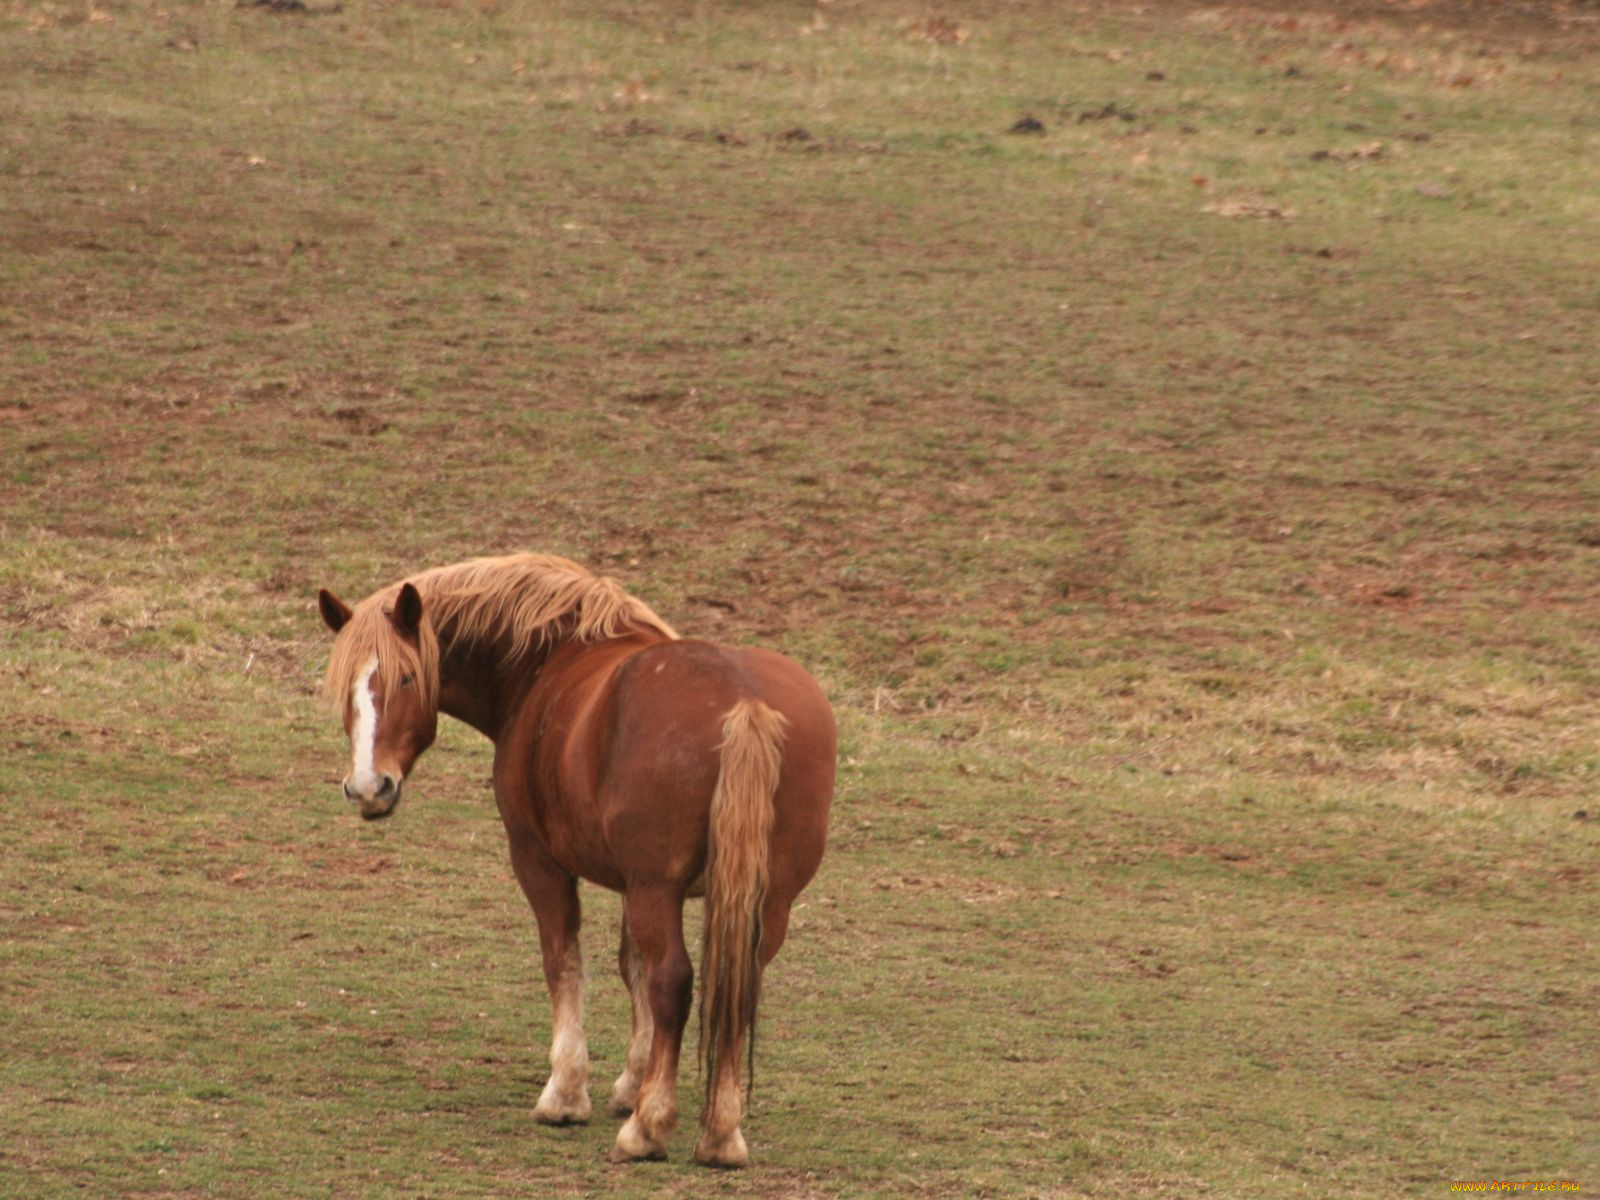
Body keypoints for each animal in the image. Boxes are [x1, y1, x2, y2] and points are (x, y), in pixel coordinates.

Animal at [313, 556, 838, 1177]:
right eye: (346, 688)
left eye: (405, 680)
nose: (369, 788)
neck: (545, 662)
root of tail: (745, 702)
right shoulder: (633, 885)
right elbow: (631, 968)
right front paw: (630, 1084)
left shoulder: (541, 861)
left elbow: (564, 962)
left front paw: (566, 1095)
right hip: (764, 900)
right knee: (738, 987)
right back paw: (721, 1134)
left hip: (660, 889)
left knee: (674, 981)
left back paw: (648, 1130)